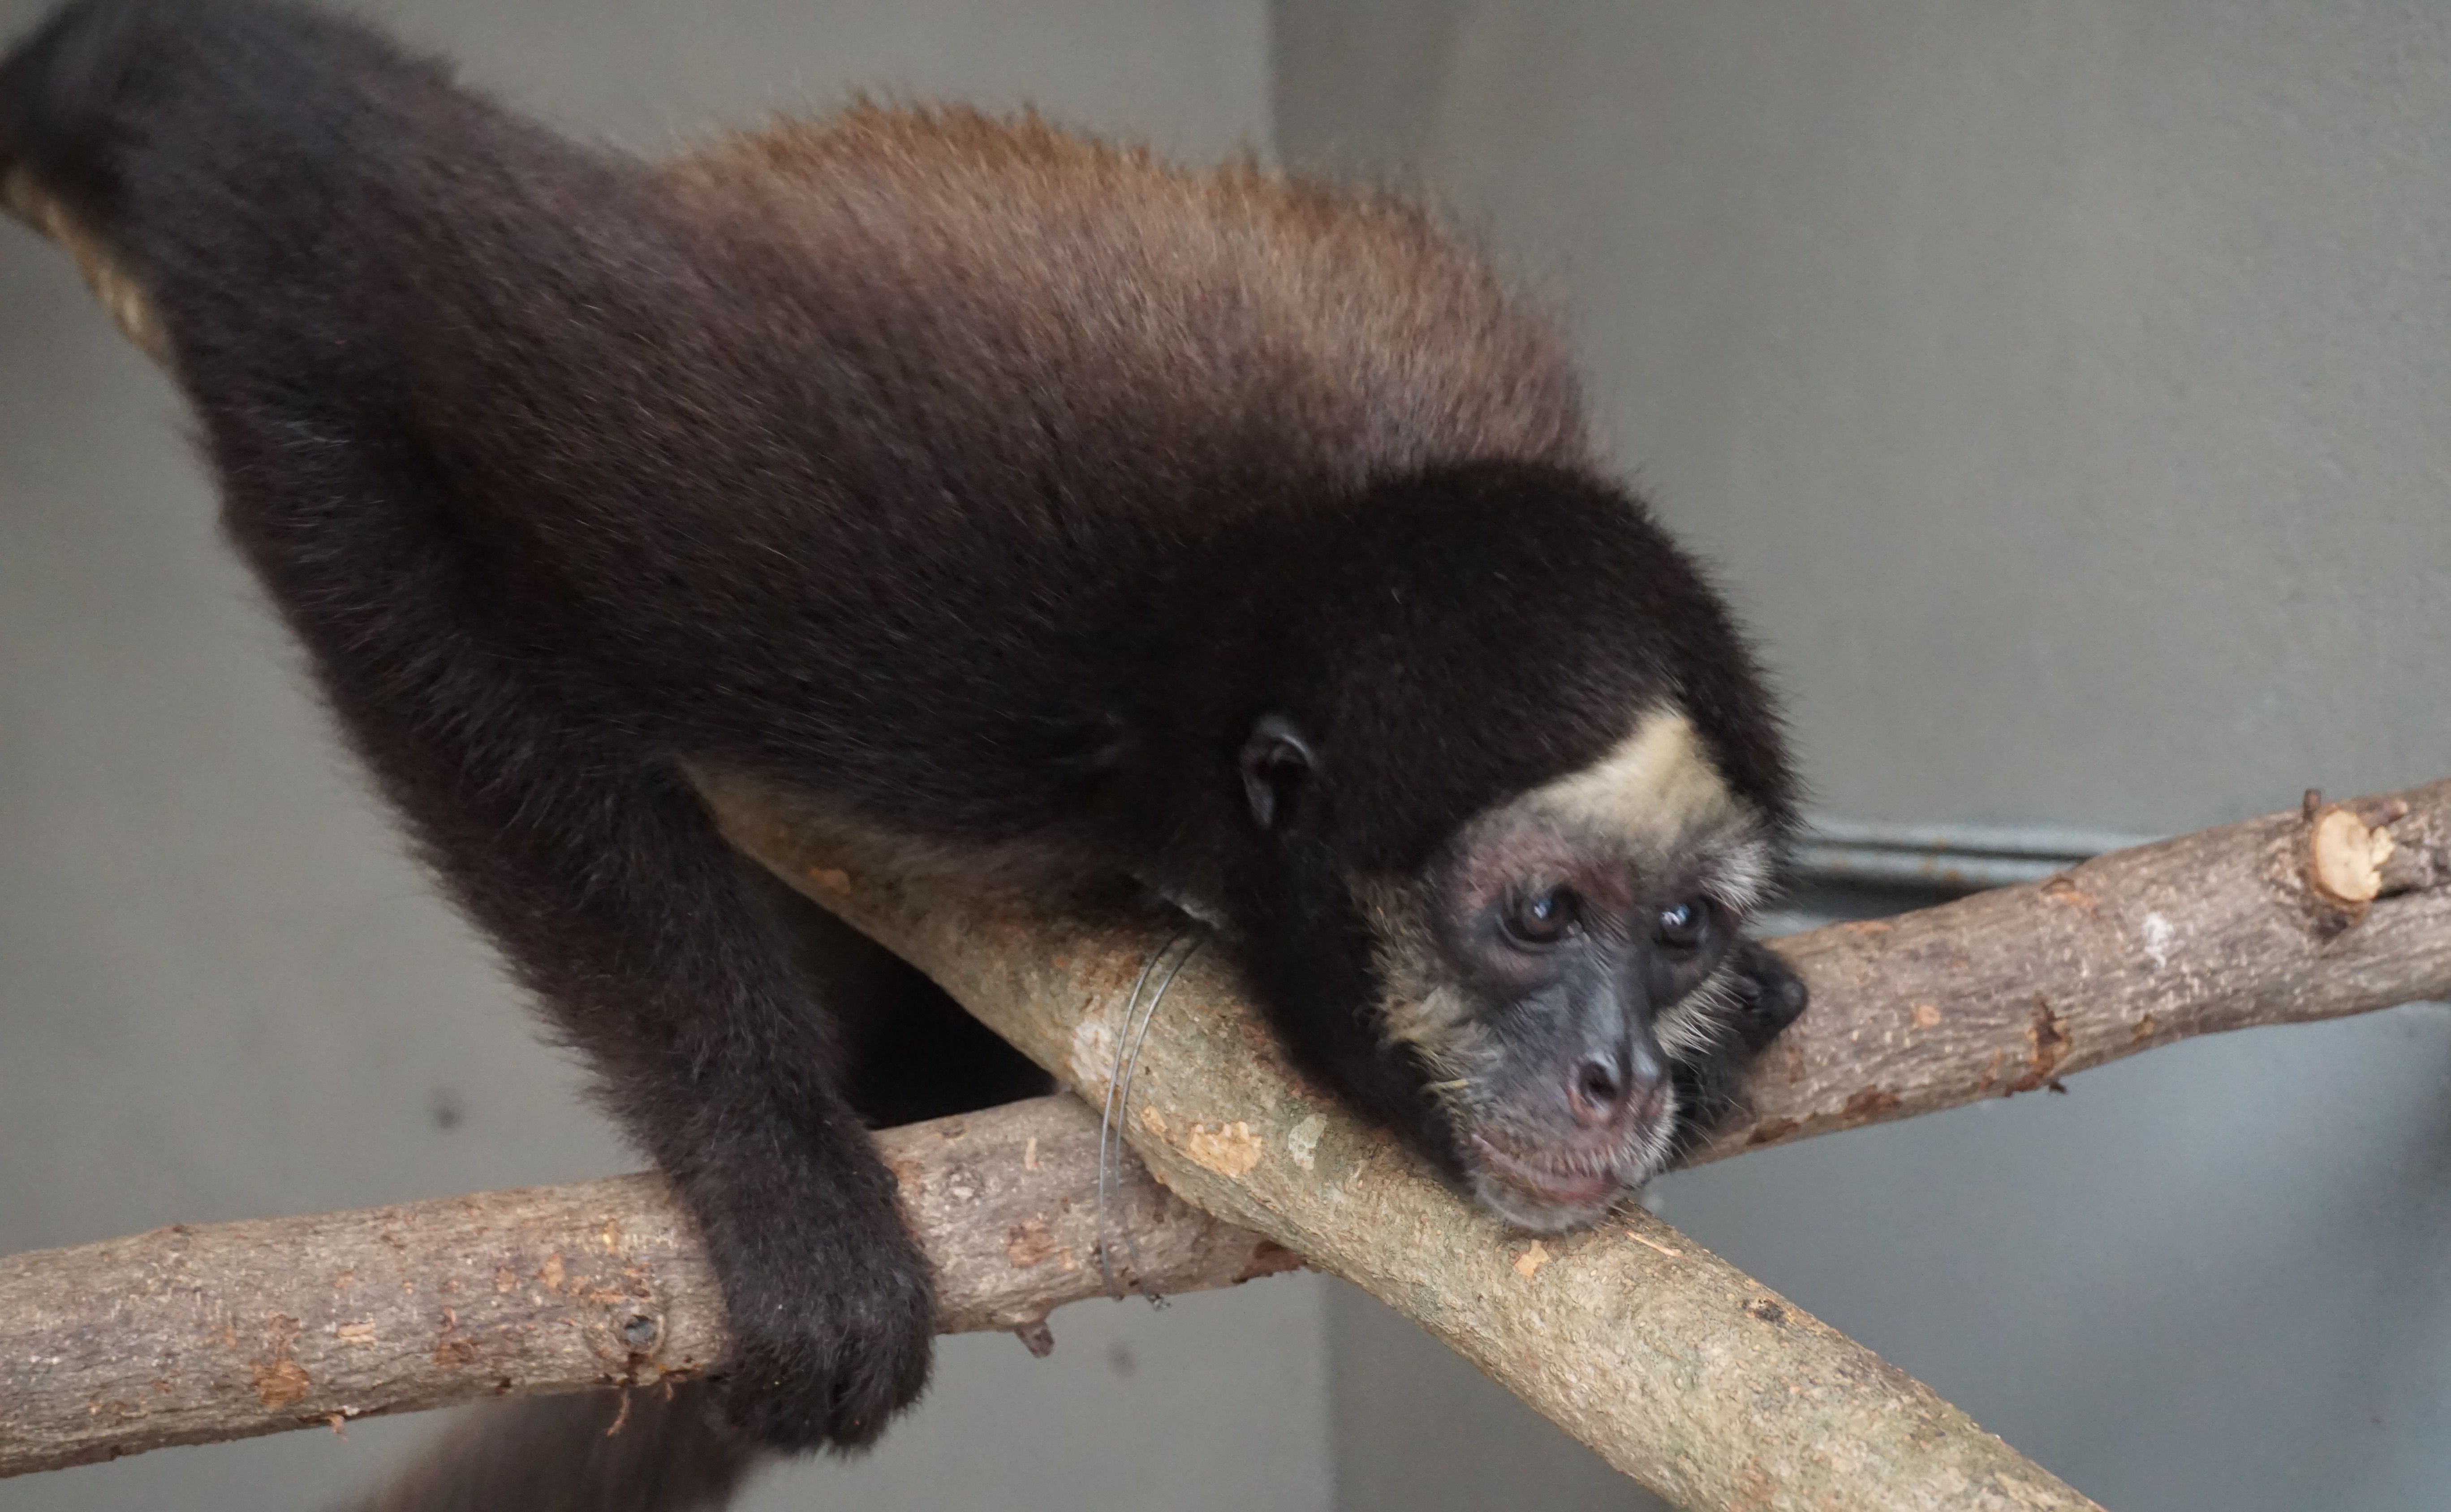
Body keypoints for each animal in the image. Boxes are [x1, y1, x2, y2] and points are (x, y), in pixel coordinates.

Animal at [0, 0, 1810, 1489]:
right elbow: (316, 230)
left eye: (1677, 929)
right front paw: (771, 1166)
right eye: (1539, 916)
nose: (1616, 1073)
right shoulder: (960, 585)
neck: (1272, 580)